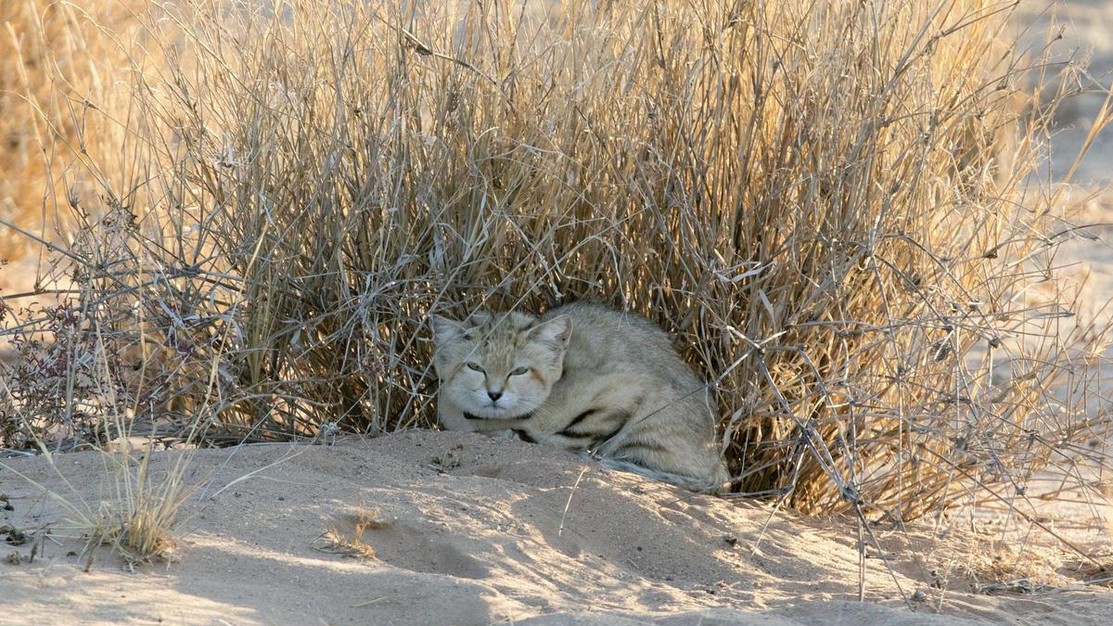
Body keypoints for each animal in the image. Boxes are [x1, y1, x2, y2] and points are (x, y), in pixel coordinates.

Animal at [427, 302, 730, 492]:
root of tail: (719, 462)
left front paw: (515, 434)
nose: (494, 394)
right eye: (475, 367)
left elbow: (568, 437)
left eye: (520, 371)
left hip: (651, 422)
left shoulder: (624, 390)